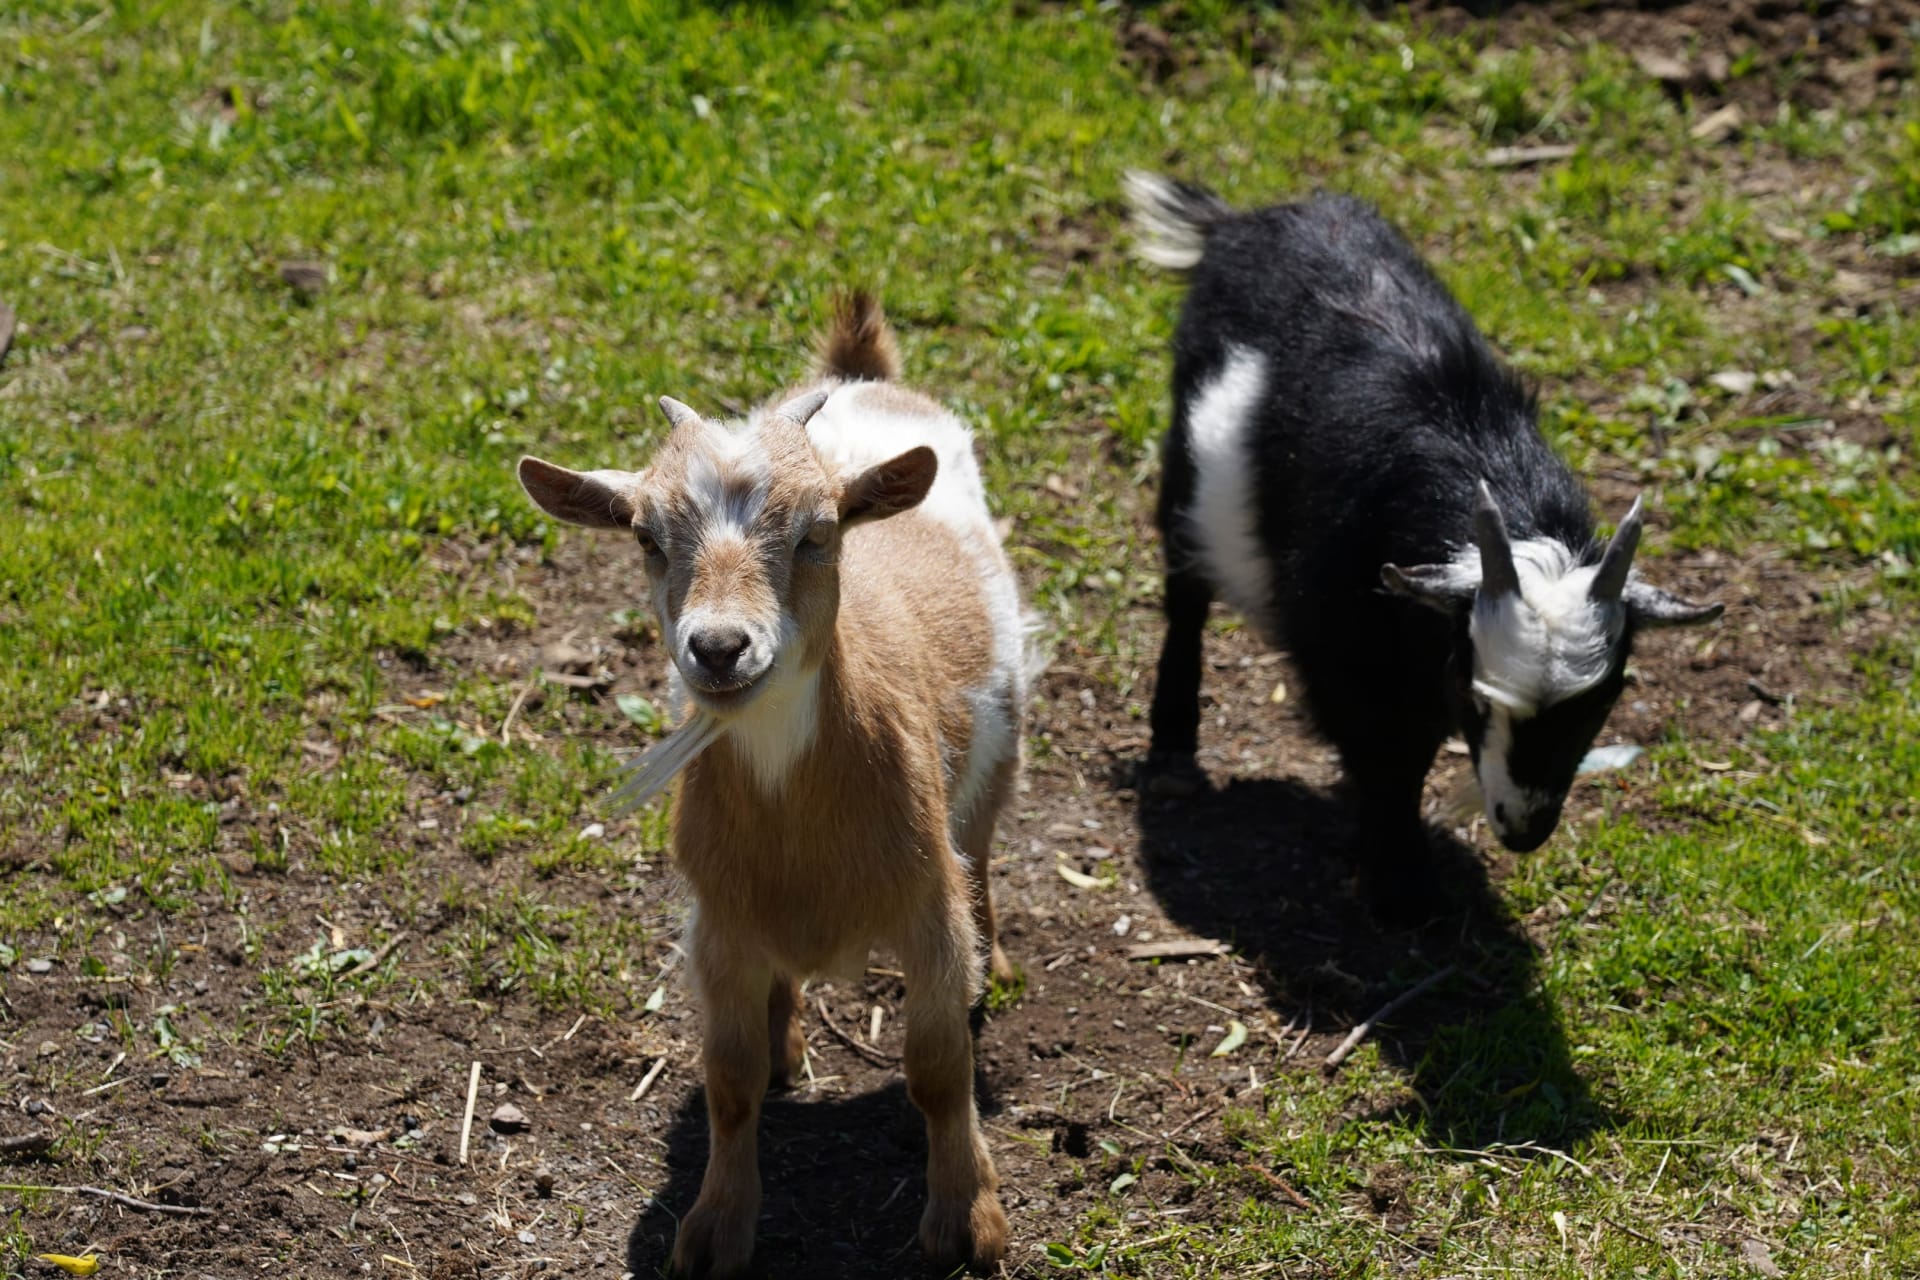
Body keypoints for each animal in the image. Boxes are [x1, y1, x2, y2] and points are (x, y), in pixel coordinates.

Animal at [517, 295, 1023, 1277]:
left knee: (981, 847)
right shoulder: (718, 923)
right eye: (646, 539)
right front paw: (714, 1228)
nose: (718, 647)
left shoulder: (926, 909)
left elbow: (938, 1067)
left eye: (817, 535)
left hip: (1001, 751)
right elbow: (730, 1079)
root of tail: (861, 371)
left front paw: (966, 1222)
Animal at [1124, 173, 1723, 918]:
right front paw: (1403, 885)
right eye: (1478, 698)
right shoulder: (1340, 647)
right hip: (1189, 464)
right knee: (1186, 588)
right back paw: (1174, 747)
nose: (1524, 830)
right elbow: (1389, 758)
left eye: (1601, 702)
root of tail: (1242, 223)